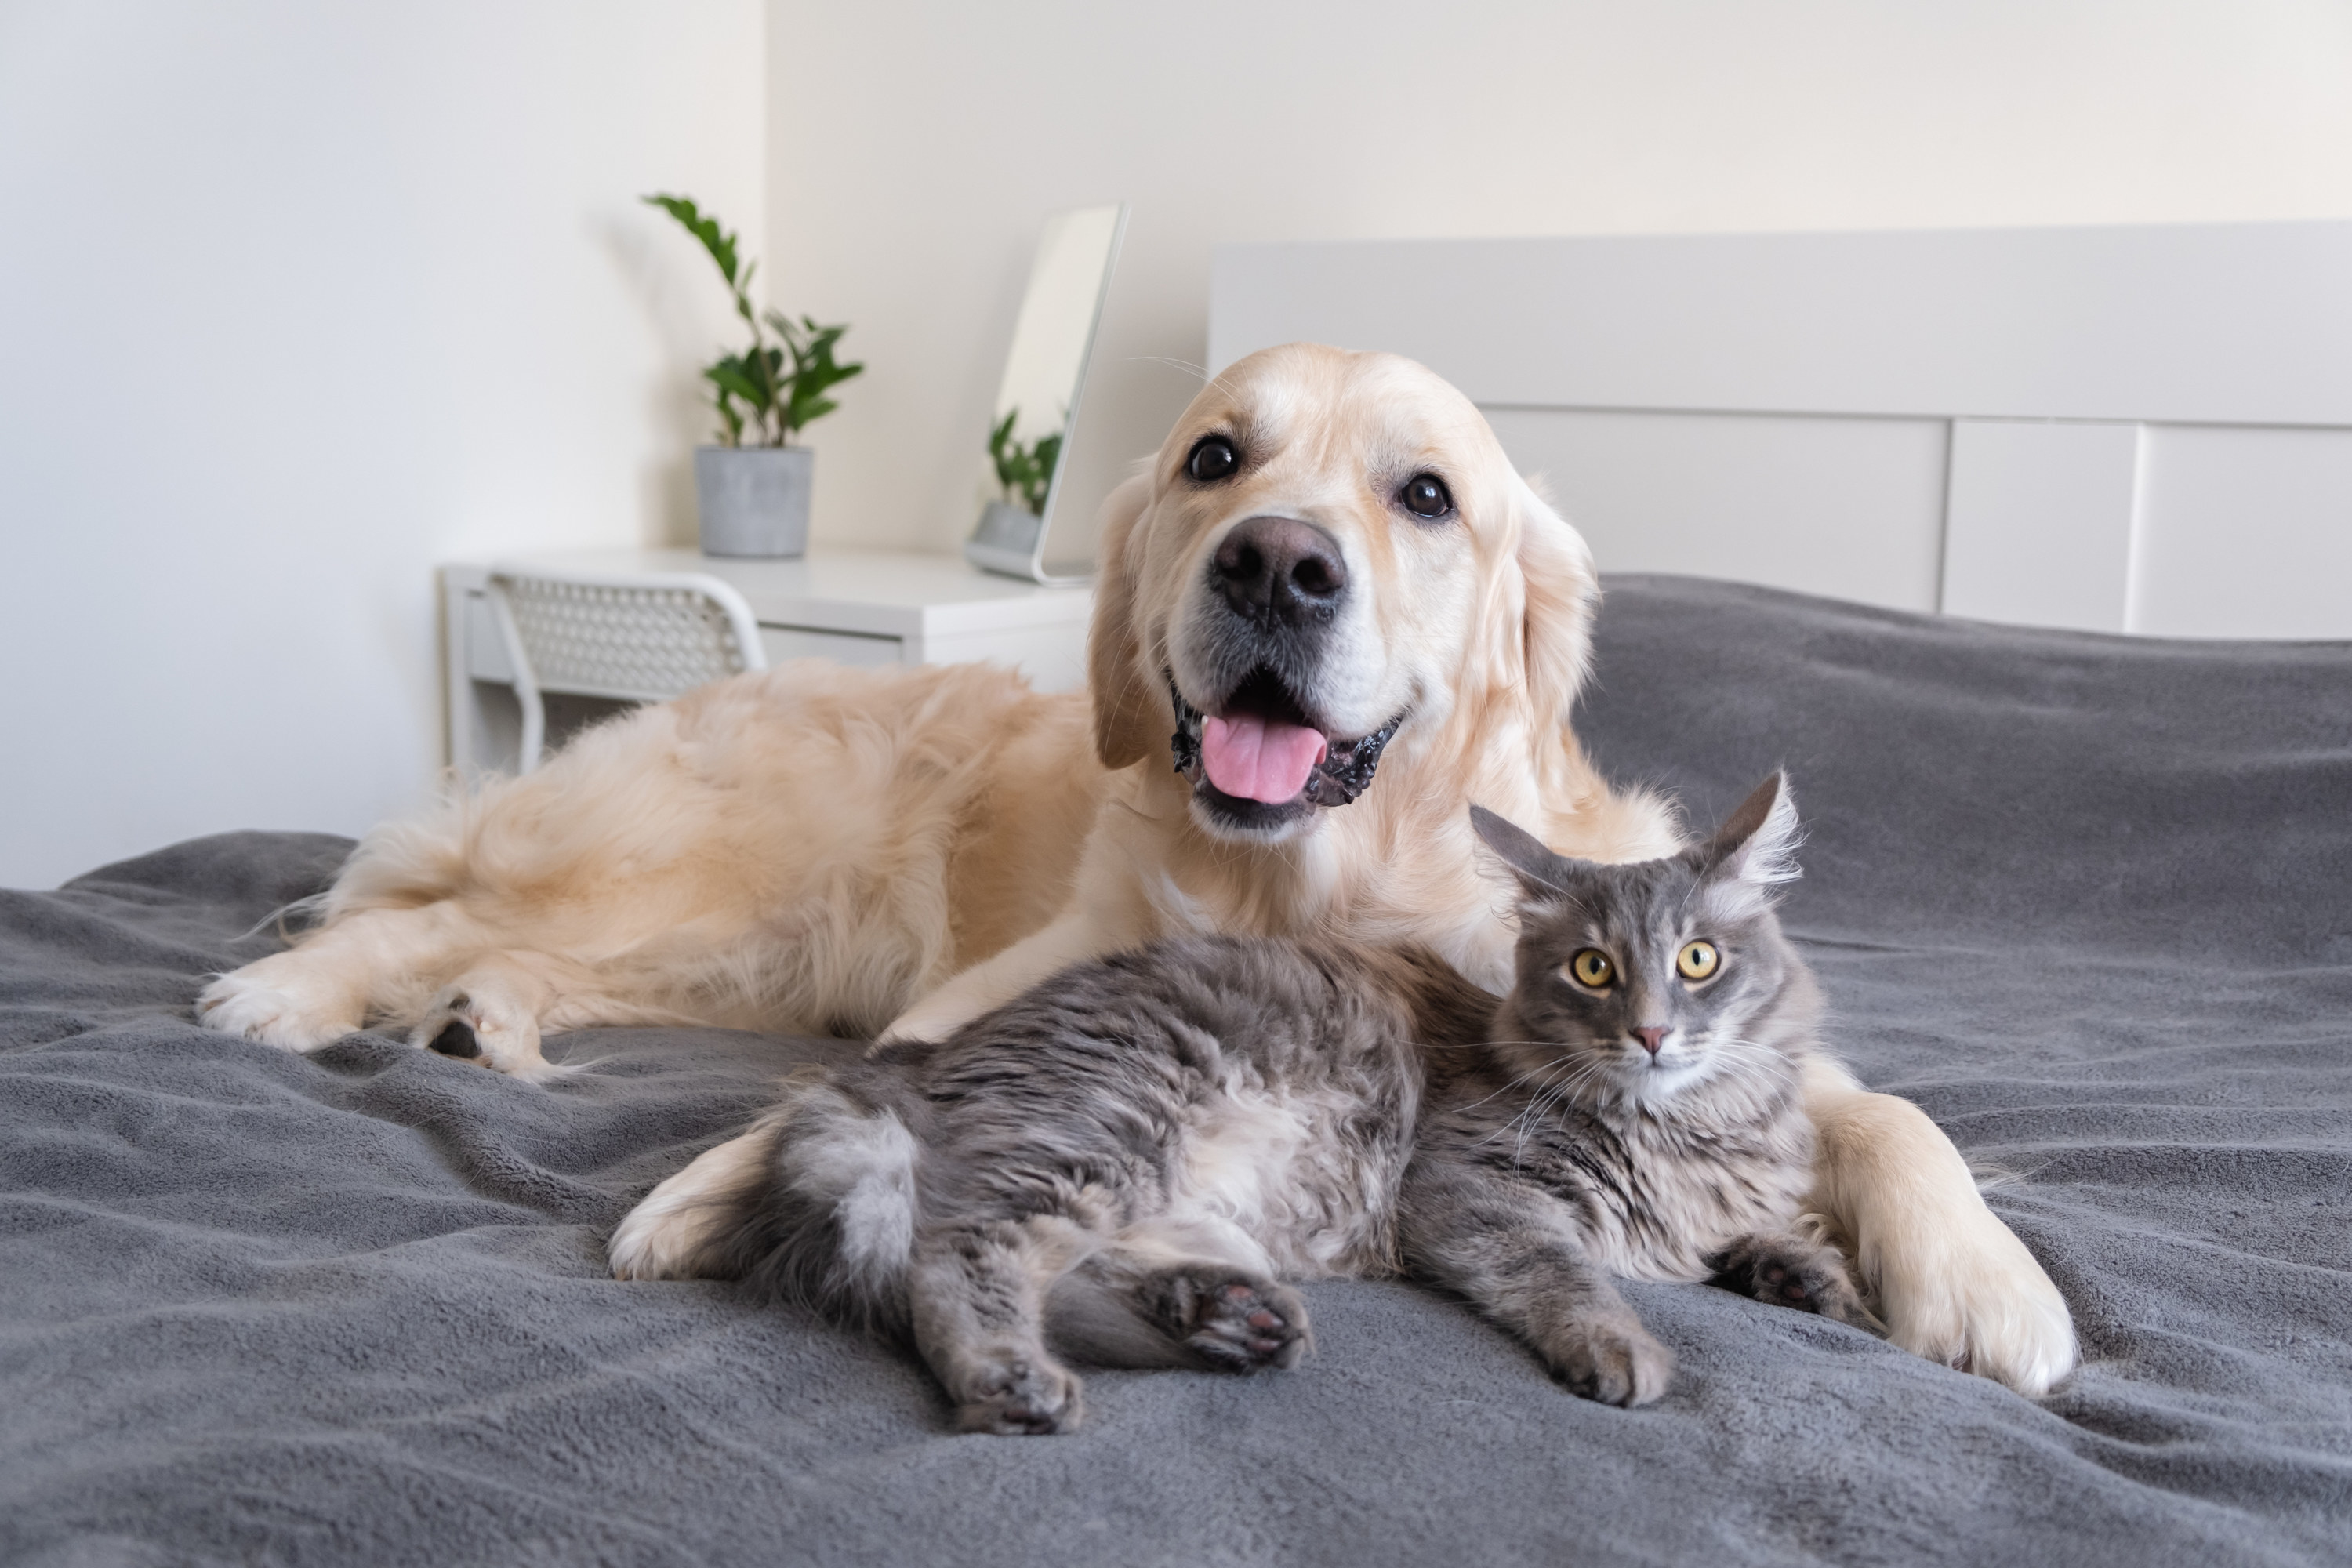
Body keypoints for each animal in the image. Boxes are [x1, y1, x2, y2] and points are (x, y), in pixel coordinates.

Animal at [616, 771, 1863, 1439]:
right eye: (1594, 970)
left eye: (1698, 960)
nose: (1652, 1031)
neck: (1682, 1129)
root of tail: (908, 1065)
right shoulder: (1470, 1188)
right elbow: (1569, 1274)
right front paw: (1624, 1349)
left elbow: (1765, 1235)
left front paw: (1816, 1279)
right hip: (1107, 1128)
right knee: (954, 1258)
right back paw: (1018, 1382)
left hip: (1166, 1193)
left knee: (1081, 1273)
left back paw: (1225, 1320)